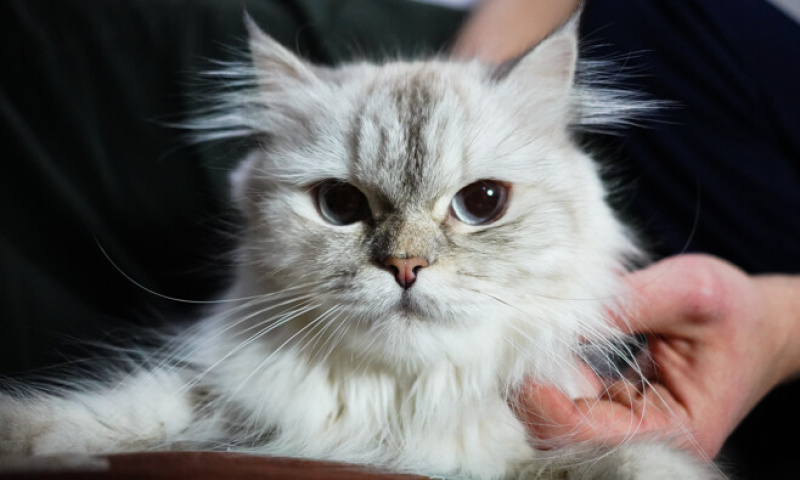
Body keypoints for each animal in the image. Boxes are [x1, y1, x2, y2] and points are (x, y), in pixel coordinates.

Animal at [0, 13, 720, 478]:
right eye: (340, 206)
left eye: (482, 203)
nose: (405, 266)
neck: (395, 416)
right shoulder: (215, 401)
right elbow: (102, 414)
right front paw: (33, 441)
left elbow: (632, 464)